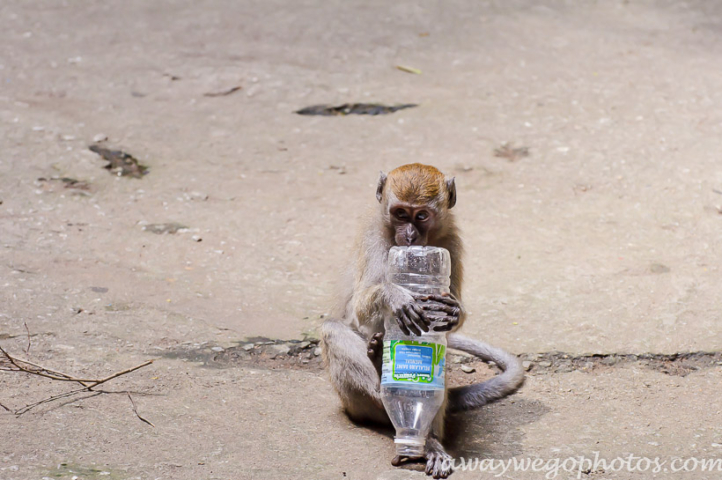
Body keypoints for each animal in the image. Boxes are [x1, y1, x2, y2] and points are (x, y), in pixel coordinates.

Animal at [320, 163, 524, 478]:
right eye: (401, 214)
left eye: (422, 216)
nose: (410, 236)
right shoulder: (373, 236)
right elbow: (360, 308)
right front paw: (394, 296)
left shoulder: (452, 242)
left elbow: (452, 306)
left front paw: (452, 311)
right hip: (353, 404)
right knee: (333, 330)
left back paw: (428, 440)